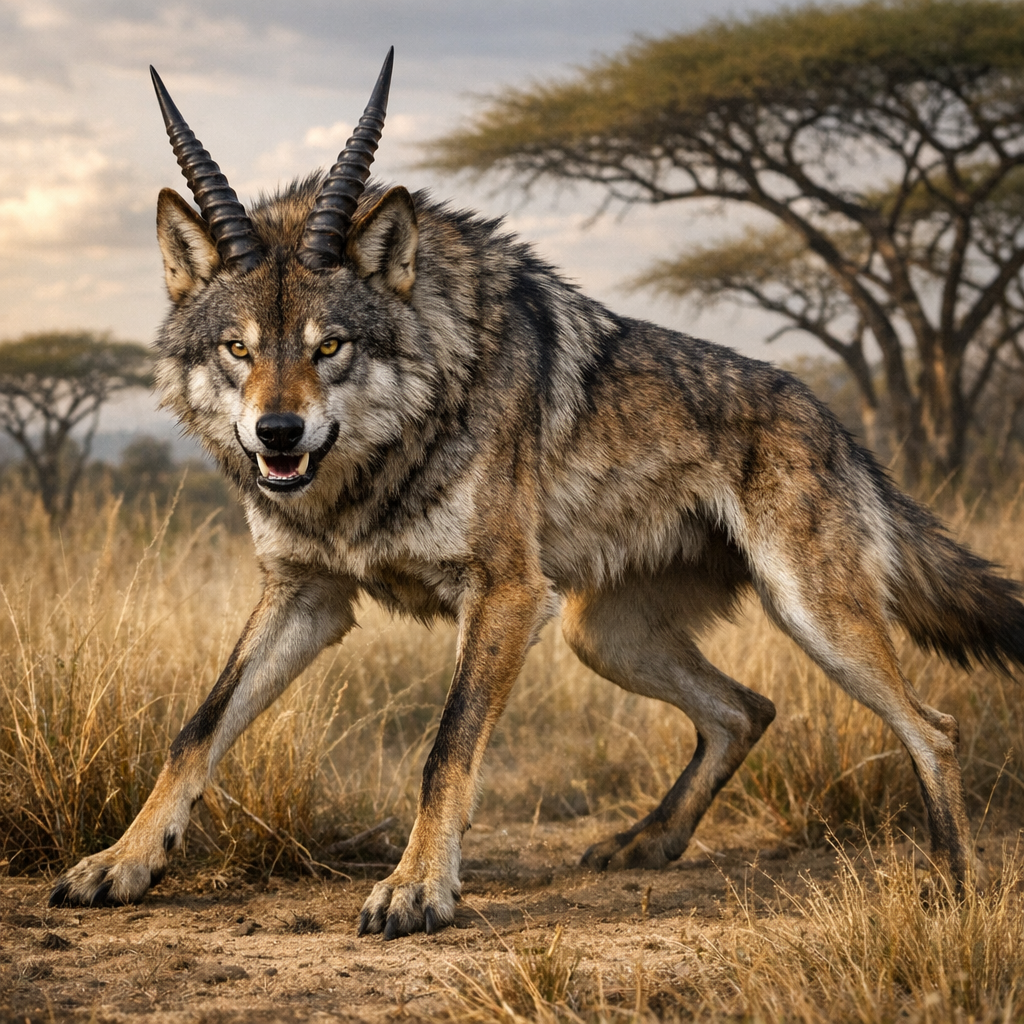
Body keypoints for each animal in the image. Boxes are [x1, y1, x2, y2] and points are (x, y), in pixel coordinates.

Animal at [51, 50, 1024, 938]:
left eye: (331, 347)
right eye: (239, 349)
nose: (277, 434)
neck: (378, 462)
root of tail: (840, 426)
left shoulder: (507, 594)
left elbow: (445, 749)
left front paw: (417, 889)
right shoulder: (306, 594)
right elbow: (197, 729)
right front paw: (120, 862)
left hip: (809, 617)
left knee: (932, 726)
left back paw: (954, 882)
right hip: (604, 635)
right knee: (746, 709)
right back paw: (645, 844)